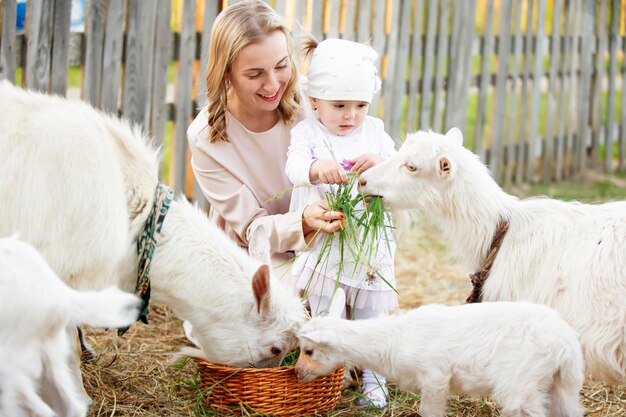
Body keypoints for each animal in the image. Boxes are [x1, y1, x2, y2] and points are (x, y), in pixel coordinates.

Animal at [294, 290, 584, 416]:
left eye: (309, 350)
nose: (297, 373)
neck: (393, 339)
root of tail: (566, 342)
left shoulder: (435, 376)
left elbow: (429, 412)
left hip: (521, 382)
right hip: (560, 384)